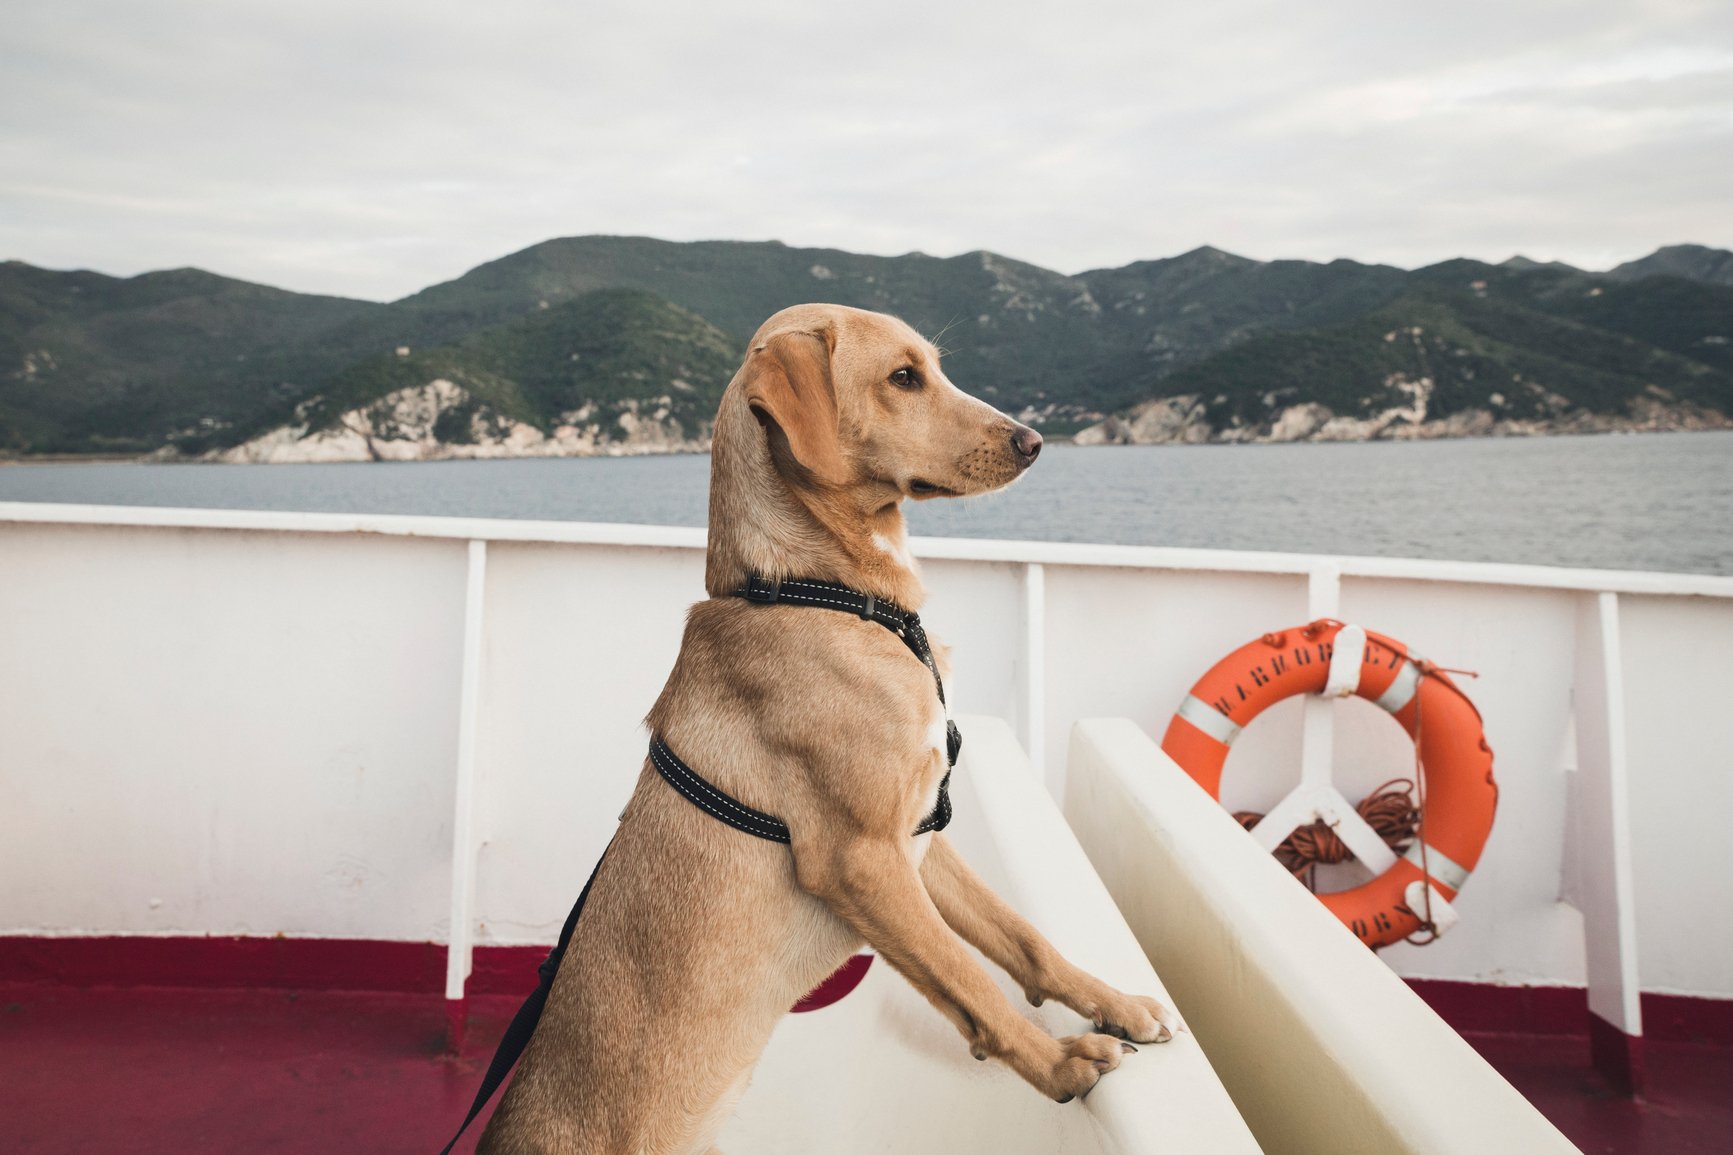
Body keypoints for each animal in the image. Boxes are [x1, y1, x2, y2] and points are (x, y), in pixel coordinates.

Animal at [474, 303, 1178, 1151]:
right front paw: (1060, 1064)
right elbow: (968, 975)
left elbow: (1019, 936)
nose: (1033, 440)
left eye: (932, 366)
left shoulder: (919, 835)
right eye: (903, 377)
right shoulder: (860, 858)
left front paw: (1112, 1003)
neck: (813, 588)